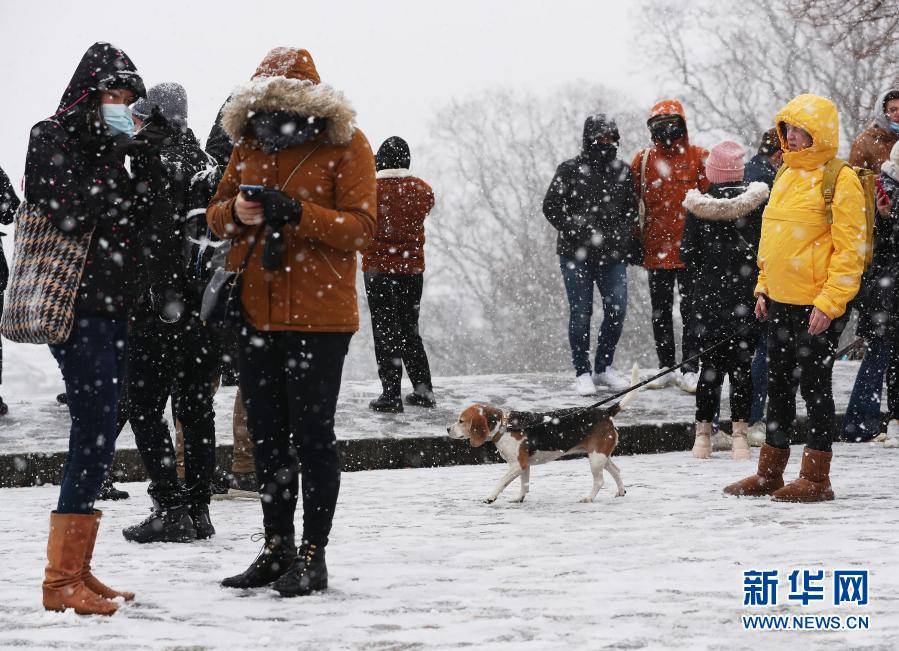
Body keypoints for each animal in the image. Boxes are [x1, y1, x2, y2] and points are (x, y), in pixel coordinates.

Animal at [446, 380, 636, 506]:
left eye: (461, 421)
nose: (447, 429)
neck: (504, 426)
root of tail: (606, 412)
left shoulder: (517, 464)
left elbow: (502, 481)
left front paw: (490, 497)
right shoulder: (524, 466)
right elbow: (524, 484)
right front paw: (519, 498)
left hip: (596, 459)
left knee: (599, 481)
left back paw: (589, 498)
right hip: (601, 456)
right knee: (616, 471)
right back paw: (621, 491)